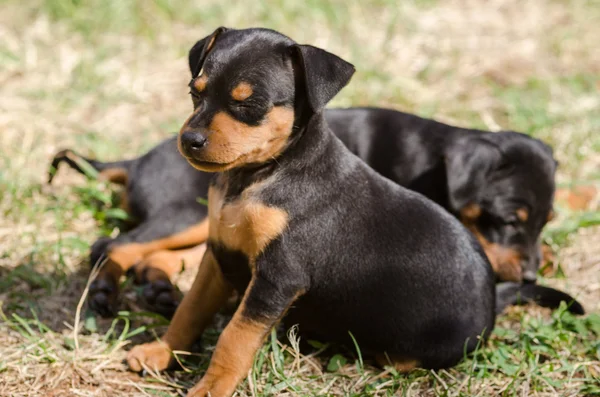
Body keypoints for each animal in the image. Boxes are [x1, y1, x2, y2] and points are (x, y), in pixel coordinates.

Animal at [124, 26, 494, 394]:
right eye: (194, 92)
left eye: (249, 103)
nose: (189, 140)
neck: (259, 176)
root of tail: (489, 314)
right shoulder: (219, 252)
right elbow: (191, 309)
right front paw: (161, 352)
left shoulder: (278, 276)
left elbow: (235, 336)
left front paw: (211, 388)